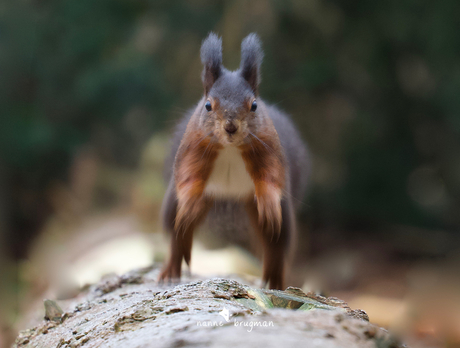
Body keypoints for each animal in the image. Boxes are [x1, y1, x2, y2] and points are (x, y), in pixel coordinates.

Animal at [158, 32, 310, 290]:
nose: (230, 127)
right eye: (208, 105)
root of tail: (230, 195)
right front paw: (189, 203)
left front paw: (269, 202)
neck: (229, 149)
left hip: (279, 218)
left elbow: (271, 176)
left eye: (254, 105)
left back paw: (274, 282)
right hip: (173, 205)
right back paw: (170, 271)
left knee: (275, 248)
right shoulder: (193, 148)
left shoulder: (268, 149)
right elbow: (189, 176)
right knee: (177, 238)